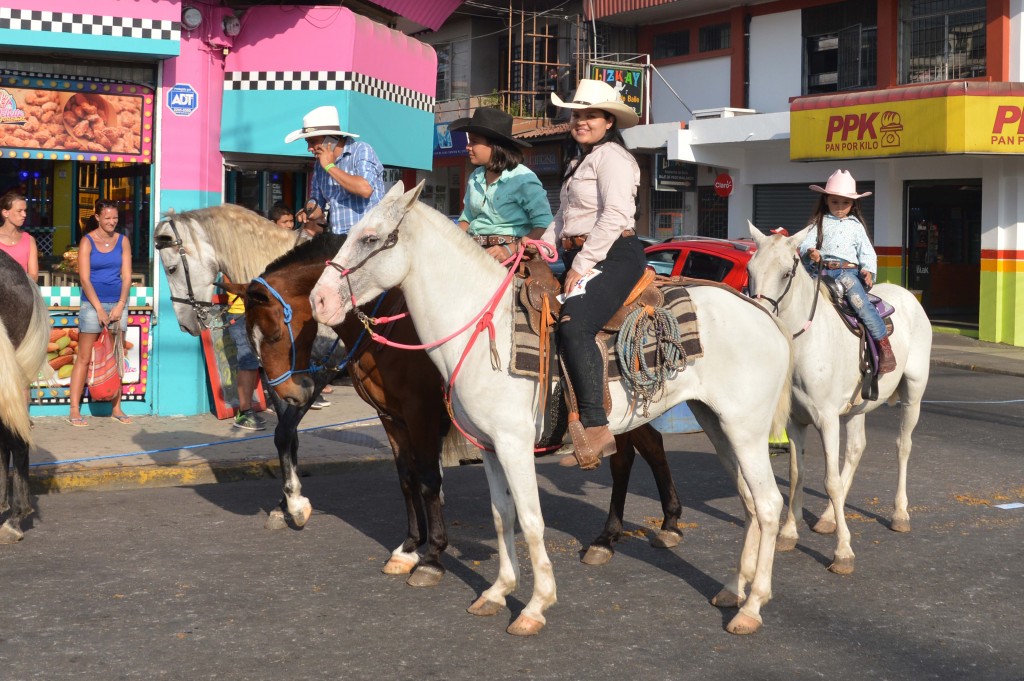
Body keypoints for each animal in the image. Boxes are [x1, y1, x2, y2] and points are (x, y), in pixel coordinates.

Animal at [228, 233, 684, 577]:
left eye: (273, 334)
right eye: (249, 338)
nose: (287, 394)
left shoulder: (421, 414)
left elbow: (429, 479)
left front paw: (432, 554)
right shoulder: (390, 417)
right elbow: (406, 479)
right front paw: (409, 546)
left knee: (637, 454)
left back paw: (640, 530)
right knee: (641, 450)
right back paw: (648, 526)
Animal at [309, 182, 790, 639]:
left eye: (371, 237)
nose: (320, 300)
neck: (485, 328)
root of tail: (762, 313)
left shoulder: (512, 445)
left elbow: (530, 520)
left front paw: (536, 605)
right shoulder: (488, 447)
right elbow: (502, 516)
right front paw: (498, 591)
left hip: (746, 430)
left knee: (768, 504)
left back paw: (752, 606)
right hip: (718, 424)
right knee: (748, 501)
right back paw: (732, 588)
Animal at [745, 224, 937, 573]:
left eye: (786, 272)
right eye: (750, 270)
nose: (761, 316)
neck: (807, 341)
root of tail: (908, 297)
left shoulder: (827, 419)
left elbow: (830, 481)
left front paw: (843, 551)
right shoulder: (796, 422)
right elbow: (797, 474)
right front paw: (789, 533)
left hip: (913, 394)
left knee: (903, 446)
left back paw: (900, 513)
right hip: (858, 407)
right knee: (857, 448)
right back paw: (827, 518)